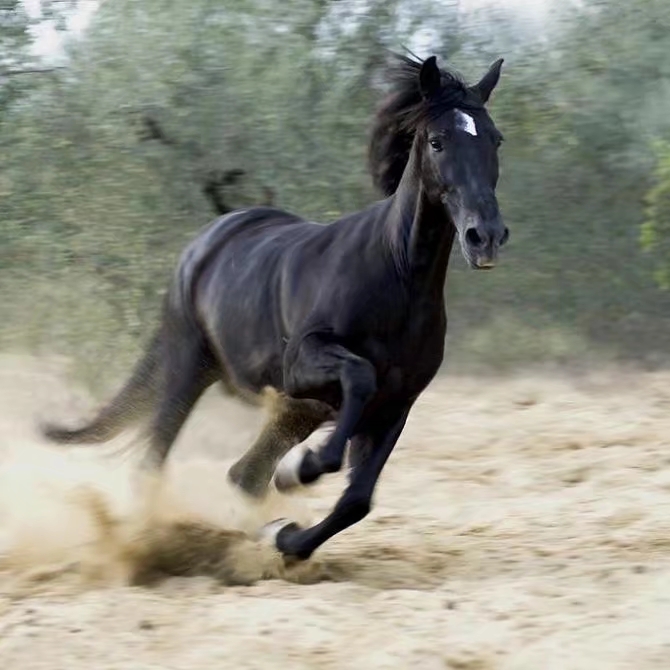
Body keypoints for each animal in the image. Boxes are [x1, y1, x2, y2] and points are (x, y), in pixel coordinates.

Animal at [42, 53, 508, 561]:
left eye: (495, 139)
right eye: (437, 140)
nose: (485, 237)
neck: (395, 275)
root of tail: (203, 244)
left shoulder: (395, 405)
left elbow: (356, 501)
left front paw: (283, 530)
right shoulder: (303, 365)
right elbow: (358, 377)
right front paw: (303, 469)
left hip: (290, 406)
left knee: (243, 475)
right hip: (188, 368)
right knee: (155, 461)